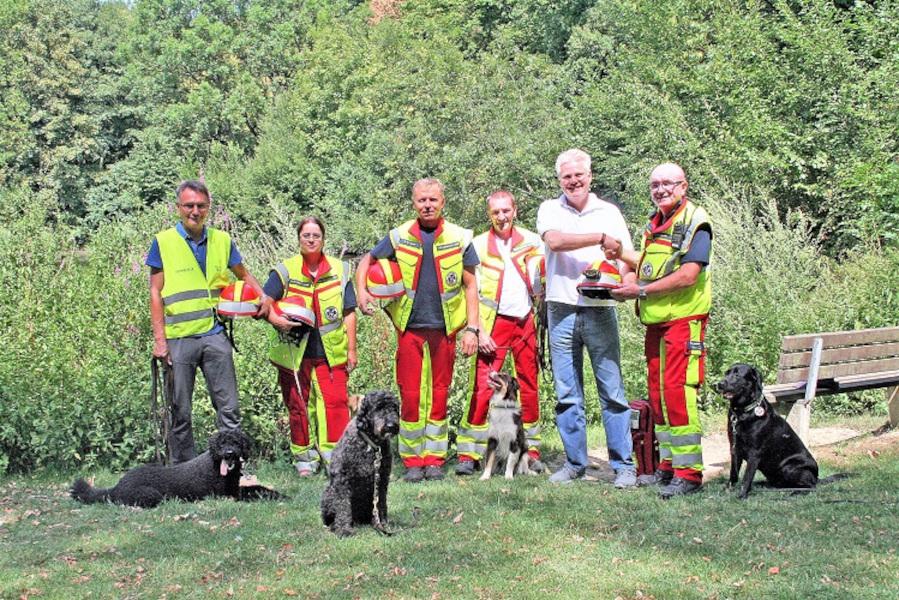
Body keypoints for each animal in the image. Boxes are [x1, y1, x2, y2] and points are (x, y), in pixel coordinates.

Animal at [73, 428, 284, 508]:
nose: (229, 453)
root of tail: (116, 487)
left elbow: (258, 488)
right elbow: (253, 494)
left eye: (236, 442)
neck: (216, 466)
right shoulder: (228, 495)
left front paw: (280, 495)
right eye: (222, 443)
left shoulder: (235, 489)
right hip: (150, 495)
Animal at [320, 392, 398, 536]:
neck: (370, 444)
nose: (391, 425)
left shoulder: (382, 481)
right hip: (329, 493)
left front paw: (384, 524)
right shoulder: (342, 480)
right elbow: (343, 505)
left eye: (394, 408)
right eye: (378, 408)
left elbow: (381, 504)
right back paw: (334, 525)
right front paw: (344, 530)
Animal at [720, 364, 820, 500]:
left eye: (737, 374)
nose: (718, 384)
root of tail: (817, 477)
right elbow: (733, 473)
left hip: (789, 467)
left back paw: (796, 492)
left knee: (810, 487)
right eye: (726, 373)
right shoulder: (734, 448)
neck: (742, 412)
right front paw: (728, 489)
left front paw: (742, 495)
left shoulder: (754, 453)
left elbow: (746, 477)